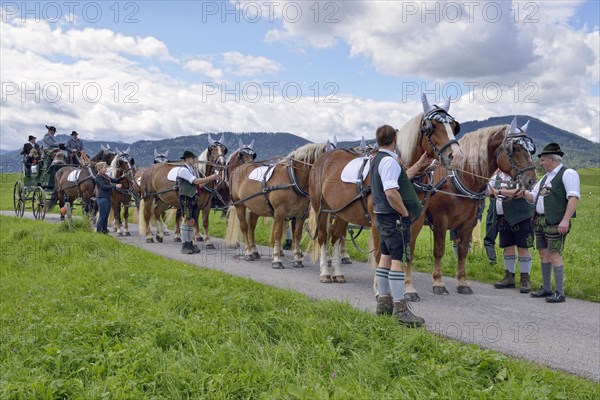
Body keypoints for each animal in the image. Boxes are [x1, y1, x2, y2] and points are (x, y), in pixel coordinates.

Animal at [308, 94, 466, 282]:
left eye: (454, 126)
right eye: (432, 127)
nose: (457, 157)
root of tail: (324, 157)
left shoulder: (416, 220)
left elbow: (408, 252)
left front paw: (407, 285)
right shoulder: (379, 221)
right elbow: (380, 255)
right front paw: (380, 284)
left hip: (341, 212)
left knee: (337, 237)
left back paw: (338, 273)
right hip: (322, 210)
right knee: (323, 238)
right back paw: (325, 272)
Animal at [404, 117, 540, 298]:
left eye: (531, 149)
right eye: (516, 148)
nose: (532, 180)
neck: (461, 178)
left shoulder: (469, 222)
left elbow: (462, 251)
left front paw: (462, 282)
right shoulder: (440, 220)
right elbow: (439, 250)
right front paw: (438, 282)